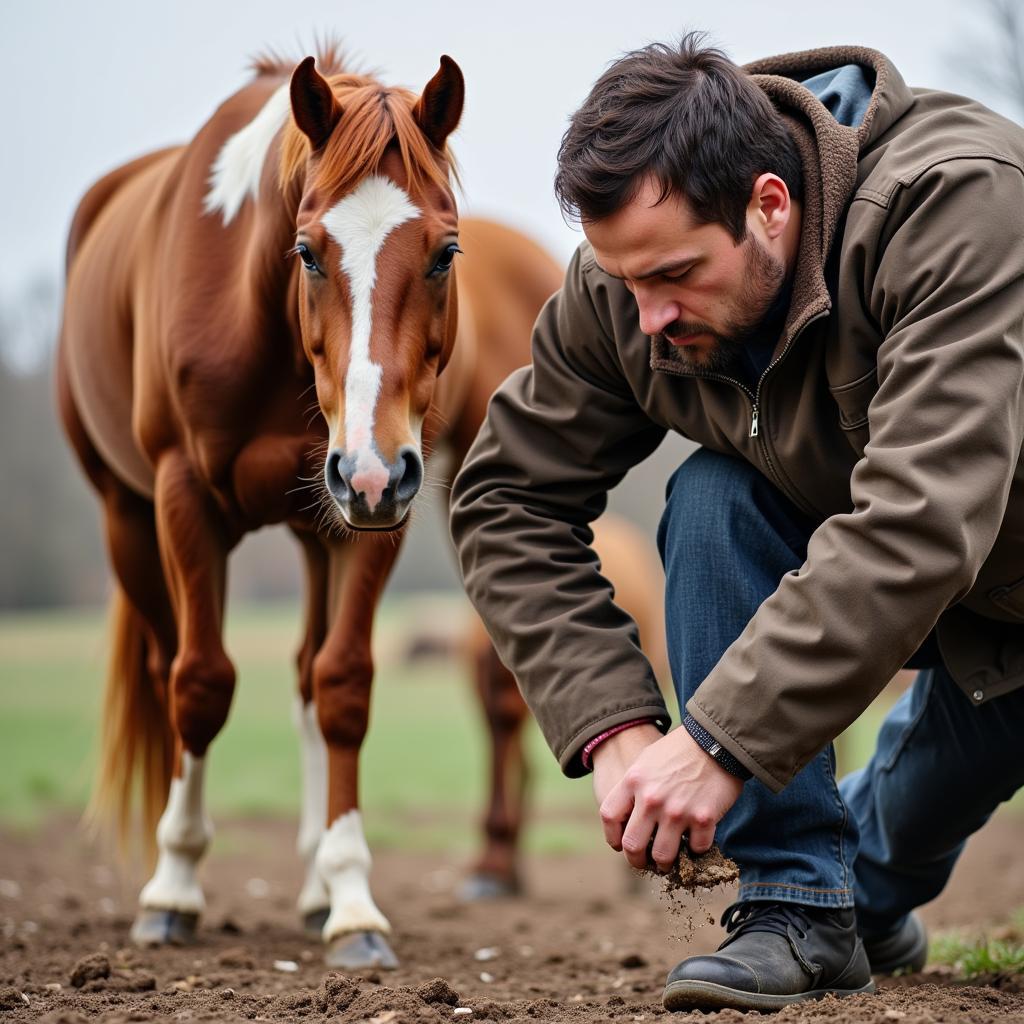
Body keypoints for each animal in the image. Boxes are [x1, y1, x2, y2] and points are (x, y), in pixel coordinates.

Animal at [58, 46, 561, 966]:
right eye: (307, 251)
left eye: (446, 252)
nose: (369, 466)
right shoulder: (186, 499)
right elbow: (201, 683)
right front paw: (172, 889)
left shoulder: (373, 511)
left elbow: (341, 686)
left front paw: (351, 898)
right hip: (129, 518)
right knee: (169, 665)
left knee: (304, 677)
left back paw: (317, 883)